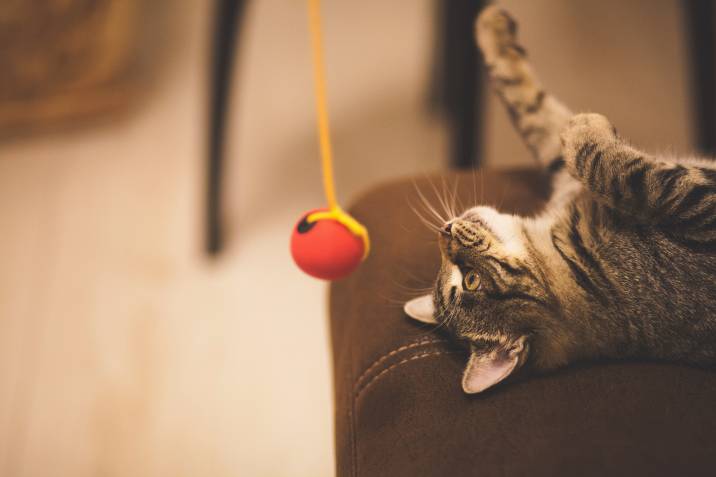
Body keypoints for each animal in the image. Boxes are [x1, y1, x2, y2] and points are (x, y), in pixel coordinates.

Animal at [402, 6, 716, 394]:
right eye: (470, 280)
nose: (444, 231)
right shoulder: (695, 206)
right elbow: (613, 168)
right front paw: (584, 127)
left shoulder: (564, 174)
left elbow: (530, 107)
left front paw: (491, 27)